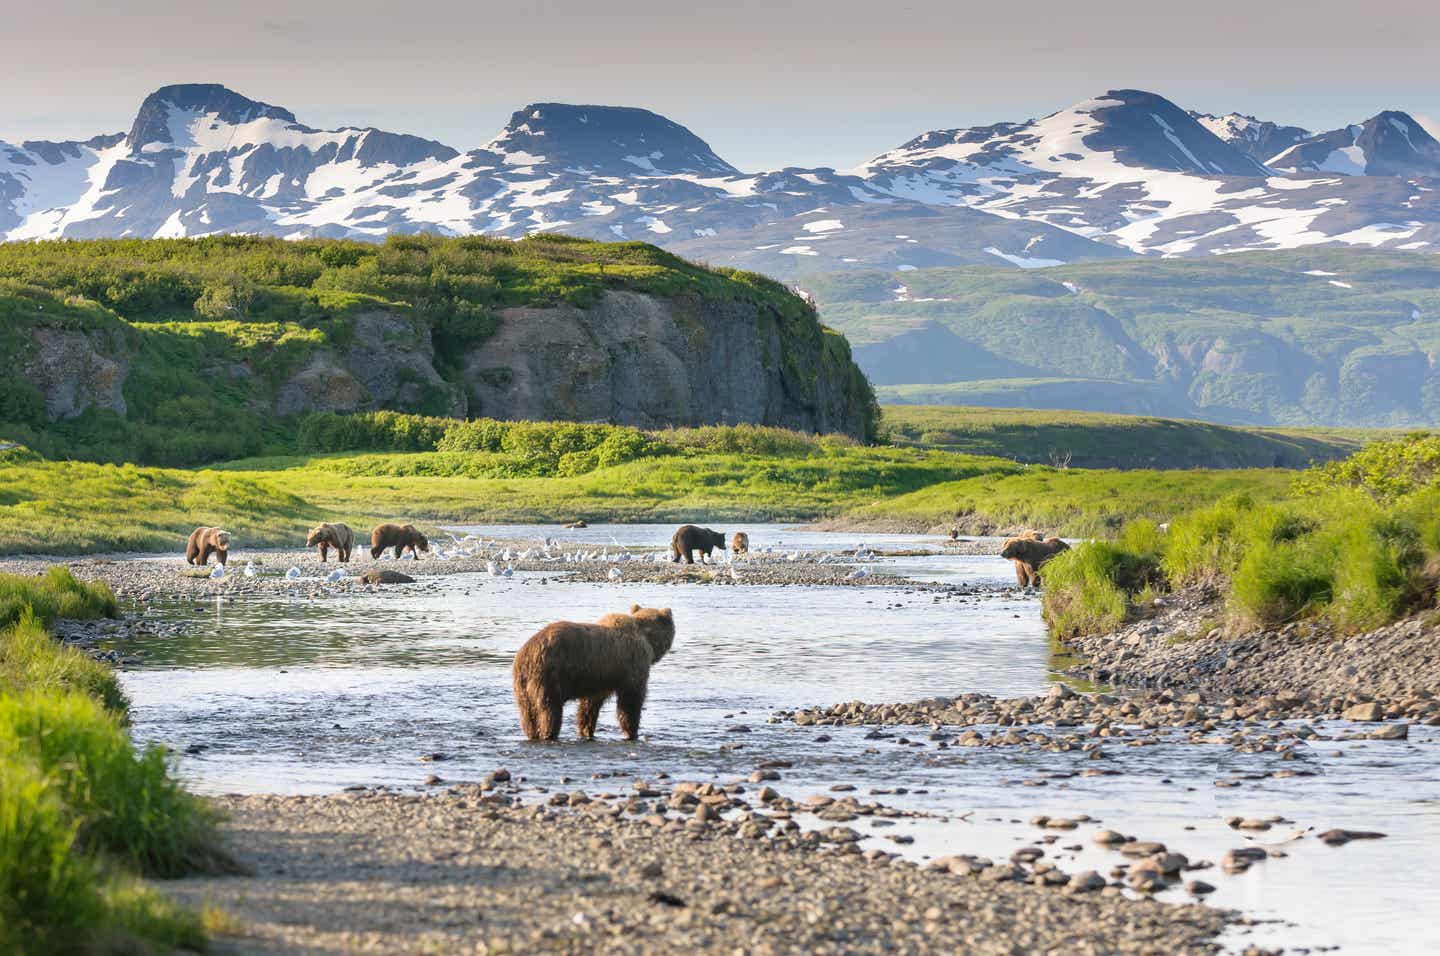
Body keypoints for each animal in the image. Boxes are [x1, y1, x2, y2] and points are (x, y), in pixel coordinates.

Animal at [515, 601, 676, 742]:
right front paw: (632, 732)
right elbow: (630, 701)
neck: (647, 639)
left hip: (522, 684)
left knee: (527, 714)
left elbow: (590, 705)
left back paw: (532, 733)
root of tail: (528, 653)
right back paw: (548, 733)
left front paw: (586, 730)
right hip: (550, 675)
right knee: (549, 710)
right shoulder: (632, 665)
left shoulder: (600, 677)